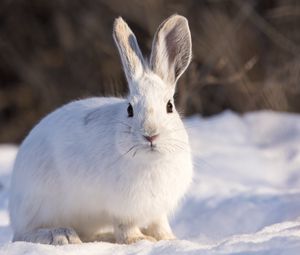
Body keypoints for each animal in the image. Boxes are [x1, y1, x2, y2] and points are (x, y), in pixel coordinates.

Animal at [9, 14, 193, 245]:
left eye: (170, 106)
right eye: (130, 109)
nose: (151, 135)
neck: (151, 162)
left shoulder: (157, 211)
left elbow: (159, 225)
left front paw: (169, 240)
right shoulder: (123, 210)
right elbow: (126, 228)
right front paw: (138, 241)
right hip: (40, 203)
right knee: (23, 234)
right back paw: (61, 235)